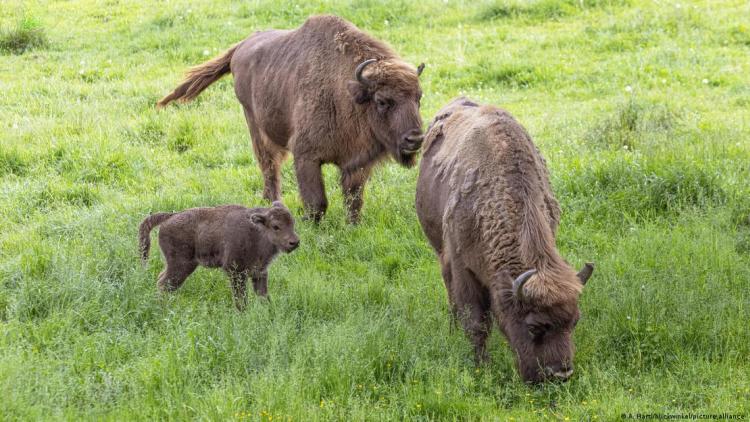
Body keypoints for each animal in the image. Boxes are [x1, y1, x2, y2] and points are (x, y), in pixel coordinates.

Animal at [140, 201, 298, 310]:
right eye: (275, 226)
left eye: (292, 222)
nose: (294, 242)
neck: (257, 232)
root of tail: (171, 216)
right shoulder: (235, 272)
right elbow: (241, 299)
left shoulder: (259, 273)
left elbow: (263, 296)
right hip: (181, 266)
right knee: (163, 284)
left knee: (161, 280)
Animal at [157, 14, 428, 223]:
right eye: (382, 101)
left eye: (418, 97)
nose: (415, 139)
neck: (347, 92)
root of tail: (243, 45)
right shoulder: (306, 156)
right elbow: (317, 202)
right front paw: (308, 224)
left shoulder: (356, 164)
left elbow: (353, 200)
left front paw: (353, 225)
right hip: (255, 125)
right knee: (269, 166)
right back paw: (271, 203)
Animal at [414, 96, 596, 382]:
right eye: (534, 327)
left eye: (574, 321)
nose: (560, 373)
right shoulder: (463, 268)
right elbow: (476, 322)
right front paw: (482, 366)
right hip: (440, 252)